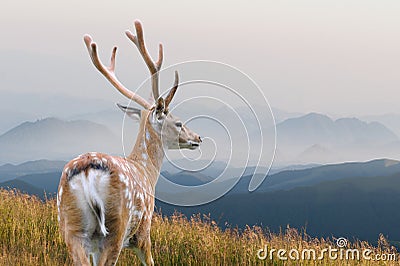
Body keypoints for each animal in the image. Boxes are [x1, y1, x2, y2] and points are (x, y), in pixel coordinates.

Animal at [57, 20, 202, 266]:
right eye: (179, 123)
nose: (198, 138)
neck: (147, 172)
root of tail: (86, 172)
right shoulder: (144, 231)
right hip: (116, 226)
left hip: (71, 226)